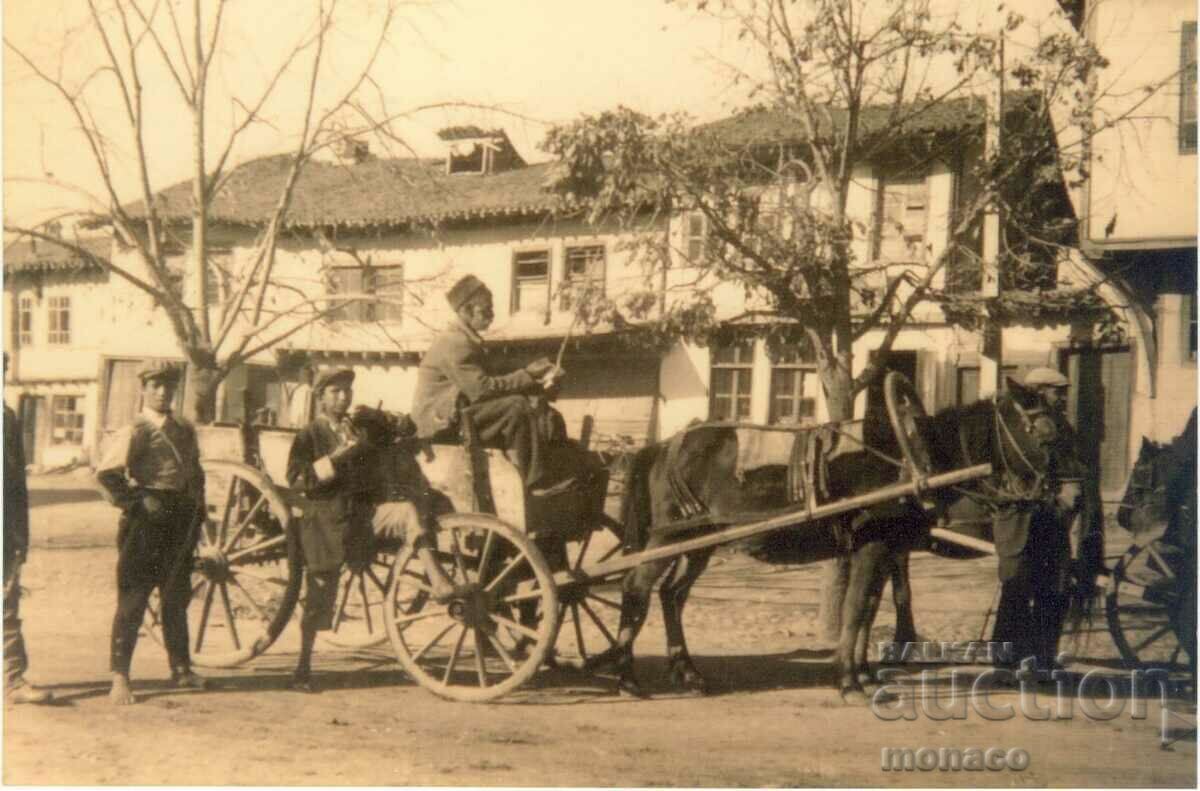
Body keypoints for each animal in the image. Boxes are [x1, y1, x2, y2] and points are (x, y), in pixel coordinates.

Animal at [595, 381, 1084, 700]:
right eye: (1047, 433)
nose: (1075, 496)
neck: (914, 458)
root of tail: (666, 444)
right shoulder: (873, 546)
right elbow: (856, 608)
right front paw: (849, 679)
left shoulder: (887, 549)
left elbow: (868, 608)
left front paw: (863, 673)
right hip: (669, 537)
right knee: (636, 590)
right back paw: (627, 678)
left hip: (699, 540)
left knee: (672, 595)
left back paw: (687, 672)